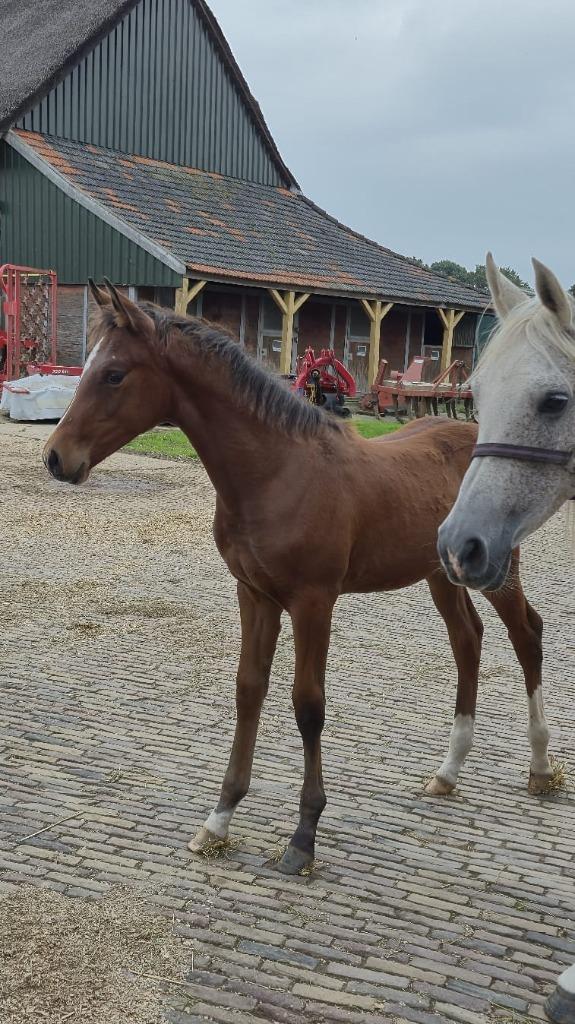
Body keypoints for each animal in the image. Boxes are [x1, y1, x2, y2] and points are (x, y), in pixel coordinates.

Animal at [42, 280, 552, 875]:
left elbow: (308, 706)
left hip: (498, 570)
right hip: (442, 575)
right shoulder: (254, 595)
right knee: (467, 641)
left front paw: (304, 835)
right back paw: (447, 773)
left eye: (115, 374)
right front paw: (218, 820)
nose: (56, 458)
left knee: (526, 635)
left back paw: (541, 768)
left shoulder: (314, 602)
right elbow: (249, 691)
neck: (277, 472)